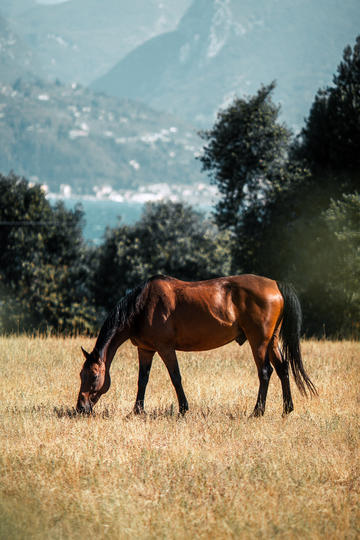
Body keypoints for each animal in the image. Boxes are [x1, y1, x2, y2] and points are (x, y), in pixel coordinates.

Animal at [77, 274, 316, 418]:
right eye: (81, 375)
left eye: (94, 376)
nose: (80, 407)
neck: (143, 306)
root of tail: (275, 284)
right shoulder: (145, 350)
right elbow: (142, 379)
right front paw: (137, 410)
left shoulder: (165, 348)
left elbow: (175, 377)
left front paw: (183, 409)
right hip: (272, 341)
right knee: (283, 369)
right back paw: (287, 409)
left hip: (259, 341)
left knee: (265, 371)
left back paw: (257, 411)